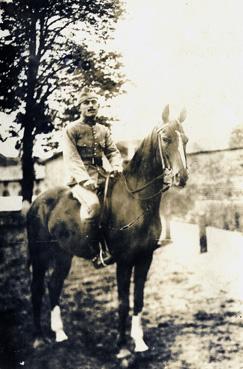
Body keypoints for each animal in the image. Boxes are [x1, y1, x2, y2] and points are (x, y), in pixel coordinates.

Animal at [27, 103, 190, 356]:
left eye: (186, 140)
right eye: (165, 139)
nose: (181, 178)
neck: (136, 200)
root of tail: (37, 201)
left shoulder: (145, 258)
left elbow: (138, 299)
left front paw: (140, 342)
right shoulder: (124, 261)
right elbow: (123, 302)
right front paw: (122, 347)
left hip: (63, 255)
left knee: (54, 285)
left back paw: (60, 334)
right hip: (40, 255)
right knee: (36, 289)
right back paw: (38, 338)